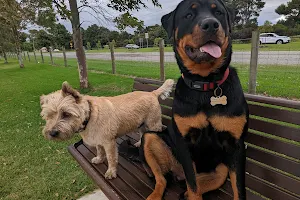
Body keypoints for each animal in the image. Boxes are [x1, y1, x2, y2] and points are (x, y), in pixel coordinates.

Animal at [39, 80, 173, 179]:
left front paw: (111, 172)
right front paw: (99, 159)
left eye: (66, 114)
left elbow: (111, 158)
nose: (52, 133)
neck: (90, 116)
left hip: (153, 124)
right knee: (141, 133)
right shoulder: (98, 140)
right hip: (140, 124)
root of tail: (152, 93)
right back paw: (139, 143)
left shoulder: (109, 143)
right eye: (49, 116)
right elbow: (99, 151)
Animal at [141, 0, 248, 199]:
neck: (206, 85)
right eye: (189, 15)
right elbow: (193, 185)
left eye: (218, 12)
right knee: (163, 178)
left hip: (221, 169)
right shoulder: (184, 143)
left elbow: (239, 189)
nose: (211, 24)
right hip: (151, 139)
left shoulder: (236, 146)